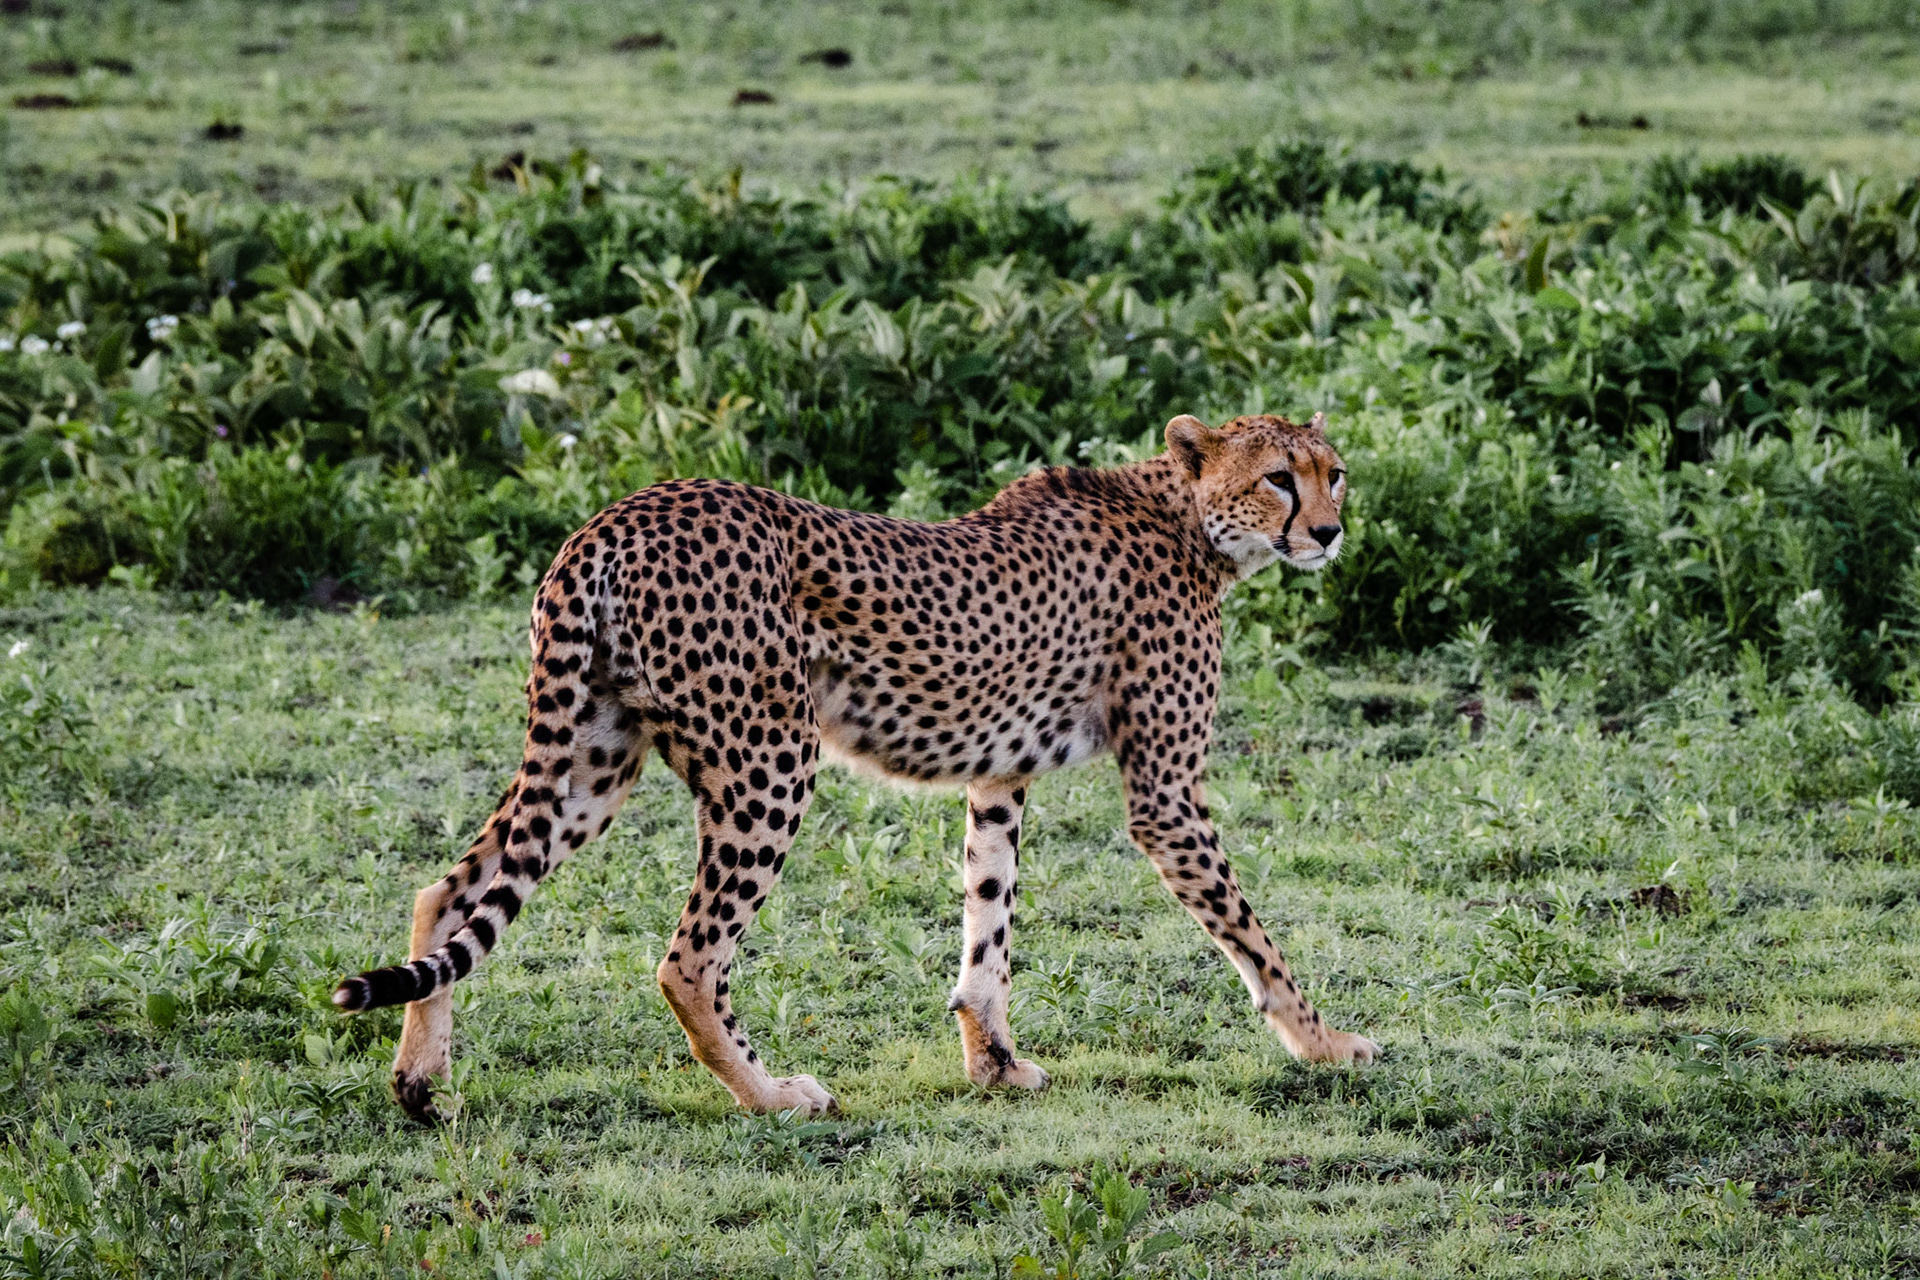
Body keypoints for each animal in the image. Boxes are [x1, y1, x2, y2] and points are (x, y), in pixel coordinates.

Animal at [335, 411, 1380, 1119]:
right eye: (1279, 479)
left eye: (1335, 475)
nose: (1330, 532)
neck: (1186, 519)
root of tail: (620, 512)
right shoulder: (1166, 793)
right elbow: (1253, 936)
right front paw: (1324, 1041)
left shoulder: (998, 774)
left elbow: (988, 923)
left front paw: (995, 1064)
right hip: (768, 760)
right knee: (688, 959)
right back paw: (773, 1094)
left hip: (592, 762)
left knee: (450, 891)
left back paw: (420, 1079)